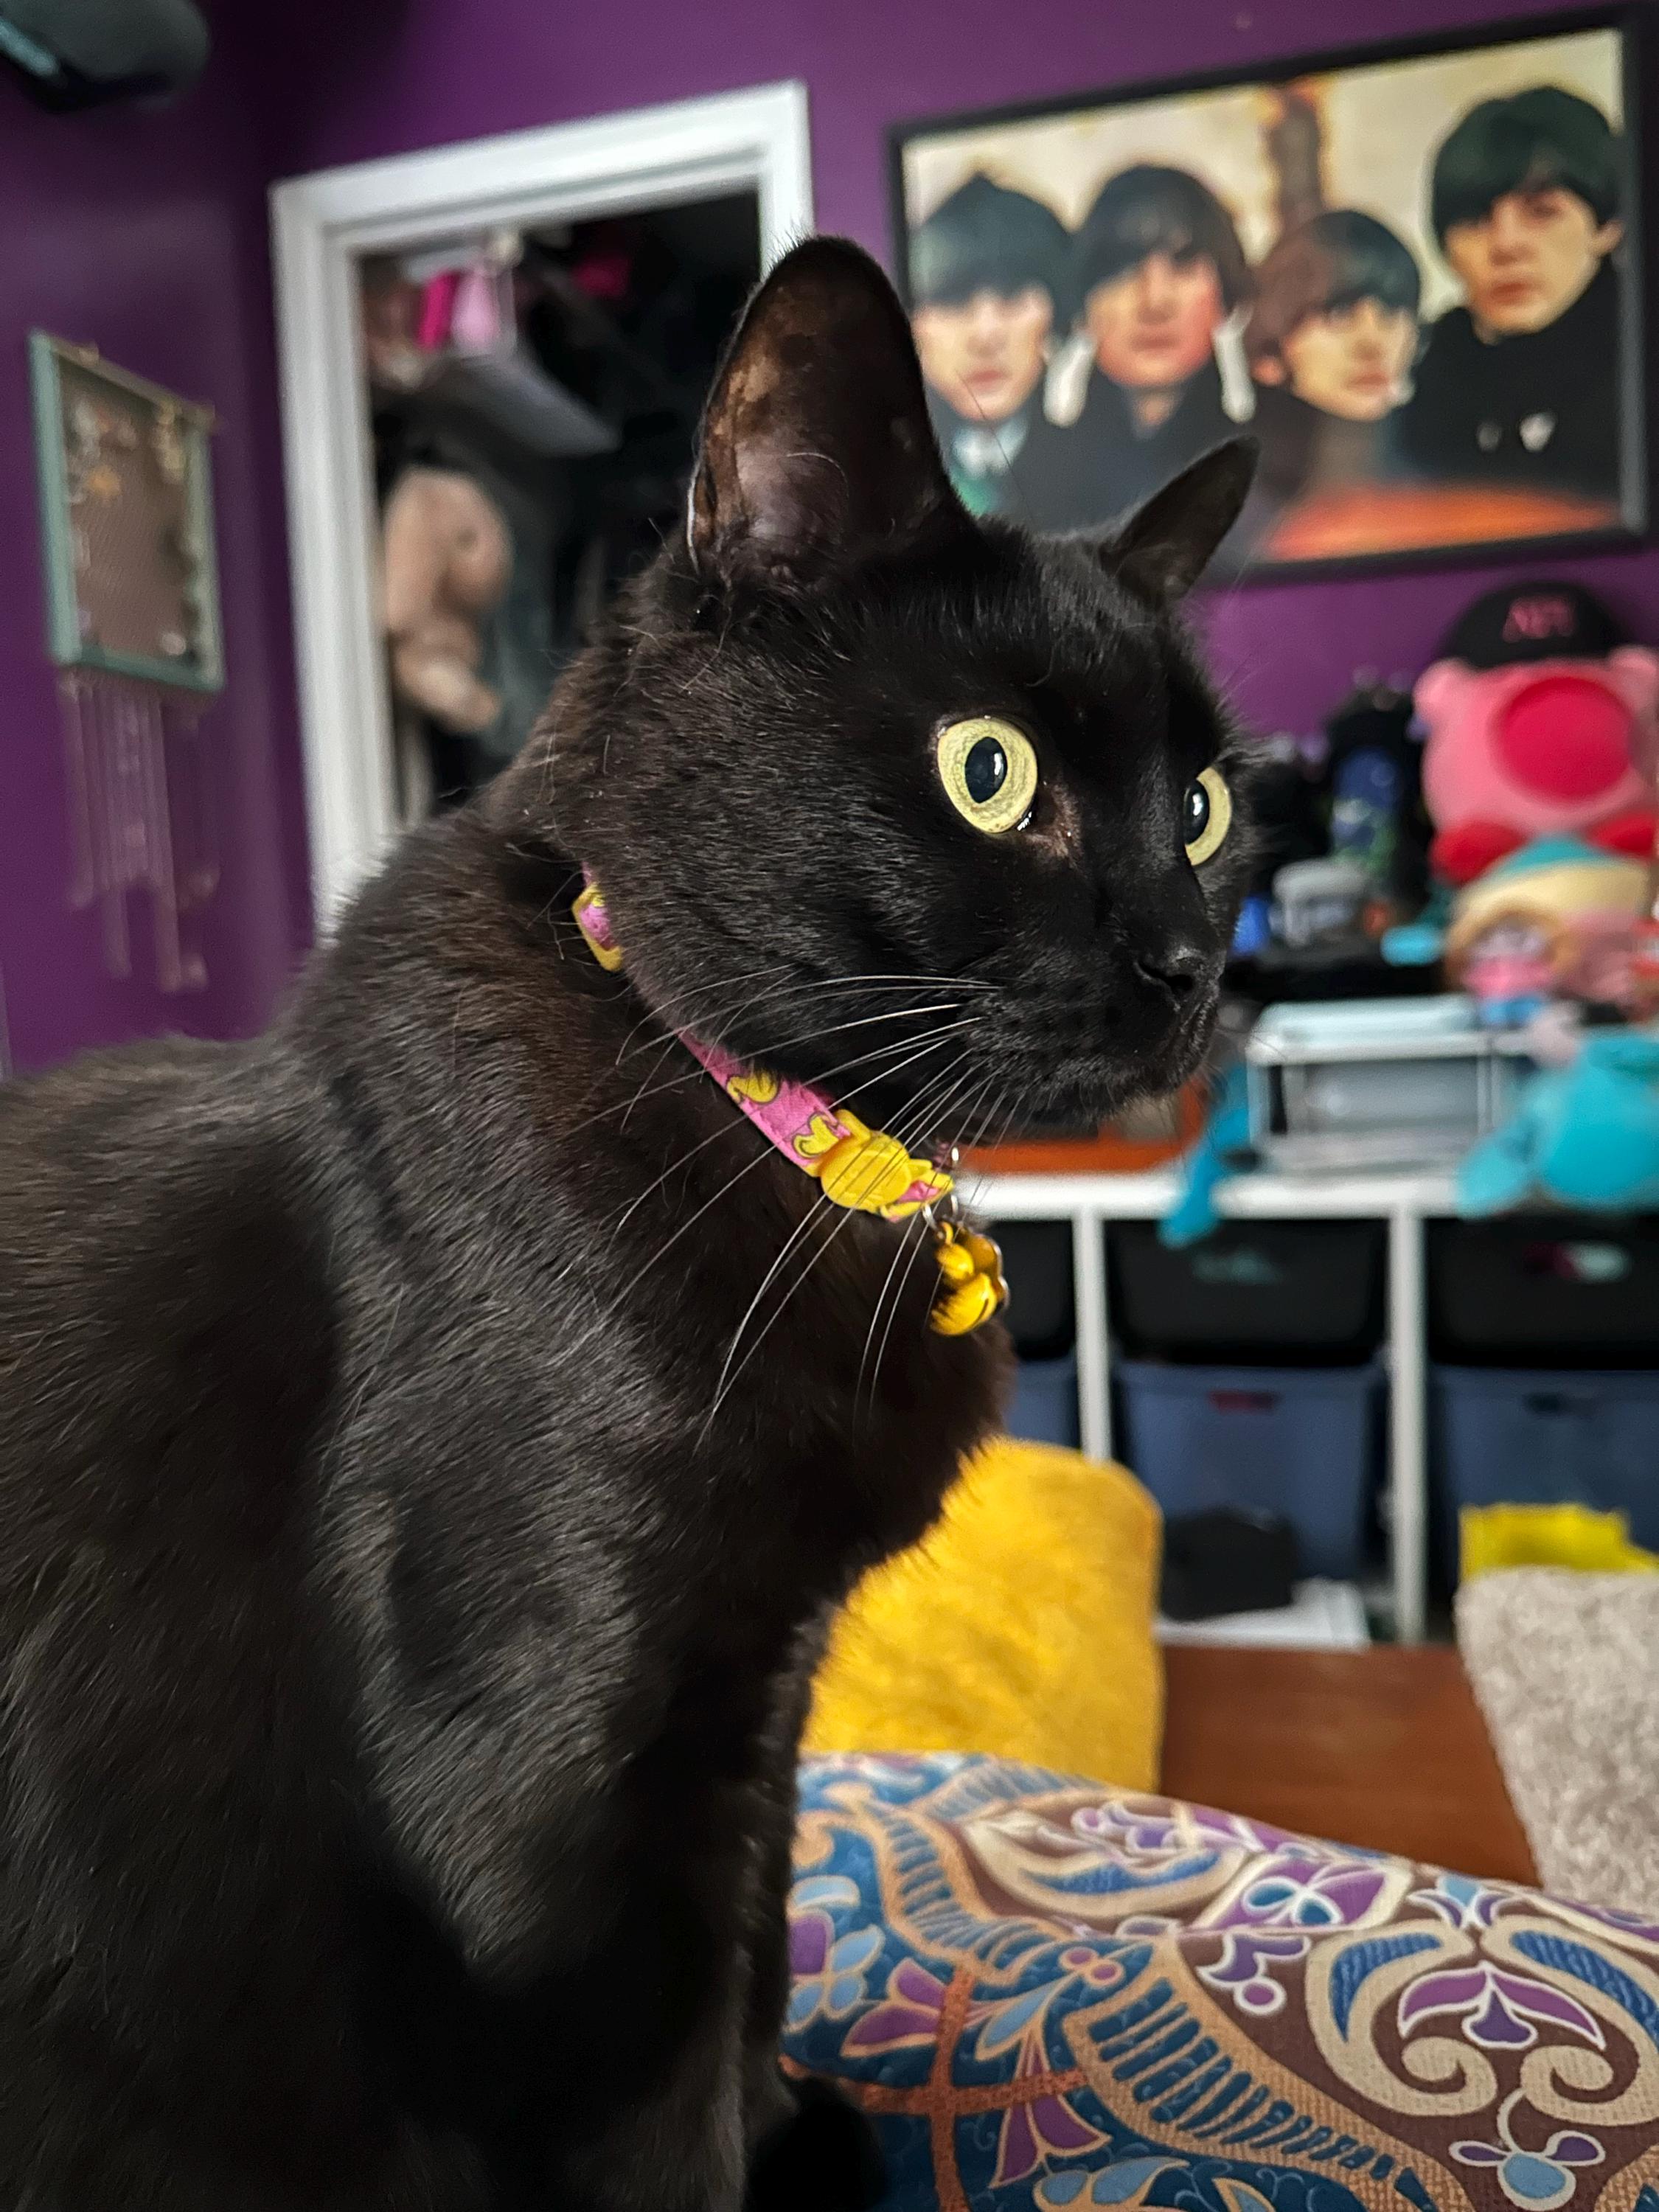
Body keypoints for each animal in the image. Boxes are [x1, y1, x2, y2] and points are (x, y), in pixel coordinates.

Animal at [0, 238, 1254, 2211]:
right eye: (988, 771)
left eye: (1201, 806)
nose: (1196, 963)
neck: (783, 1141)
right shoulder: (555, 1831)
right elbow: (662, 2116)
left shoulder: (763, 1709)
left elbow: (754, 1972)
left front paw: (799, 2132)